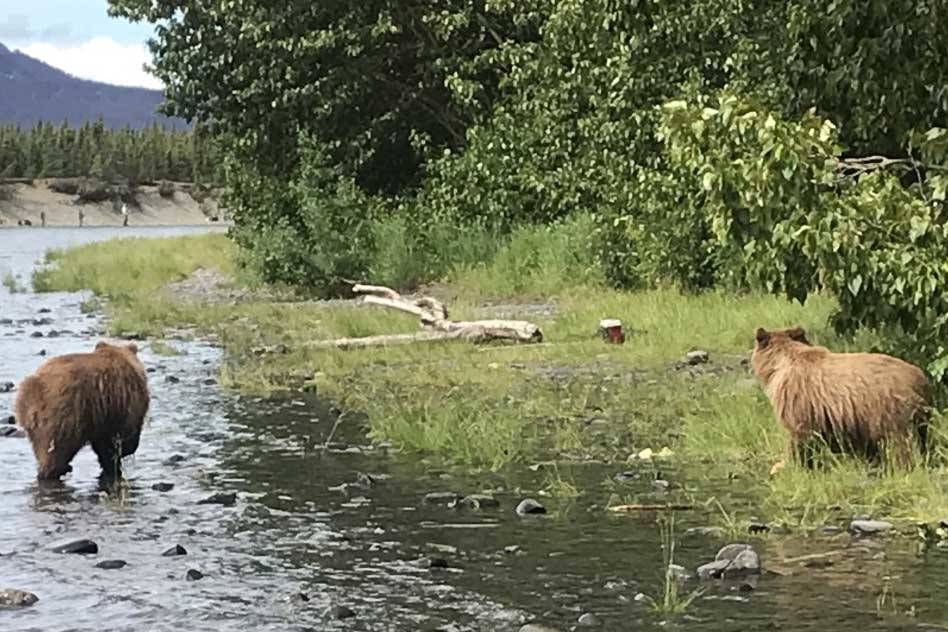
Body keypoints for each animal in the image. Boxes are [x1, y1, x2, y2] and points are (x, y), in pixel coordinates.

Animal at [13, 340, 150, 478]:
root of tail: (35, 389)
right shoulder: (124, 403)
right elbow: (122, 436)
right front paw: (121, 456)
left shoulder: (102, 415)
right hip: (66, 415)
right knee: (56, 450)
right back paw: (58, 469)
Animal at [756, 326, 932, 470]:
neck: (779, 366)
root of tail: (920, 379)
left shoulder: (799, 401)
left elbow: (801, 438)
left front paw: (795, 466)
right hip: (918, 416)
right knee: (921, 440)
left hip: (890, 410)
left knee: (899, 445)